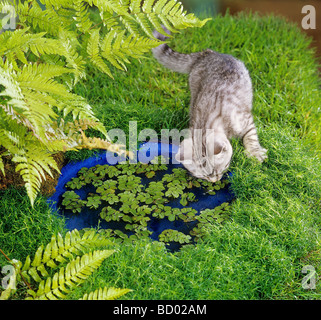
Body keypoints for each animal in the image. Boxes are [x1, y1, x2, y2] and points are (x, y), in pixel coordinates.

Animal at [151, 26, 266, 182]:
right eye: (204, 176)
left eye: (218, 170)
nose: (214, 181)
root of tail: (207, 53)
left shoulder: (245, 119)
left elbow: (251, 136)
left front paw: (255, 153)